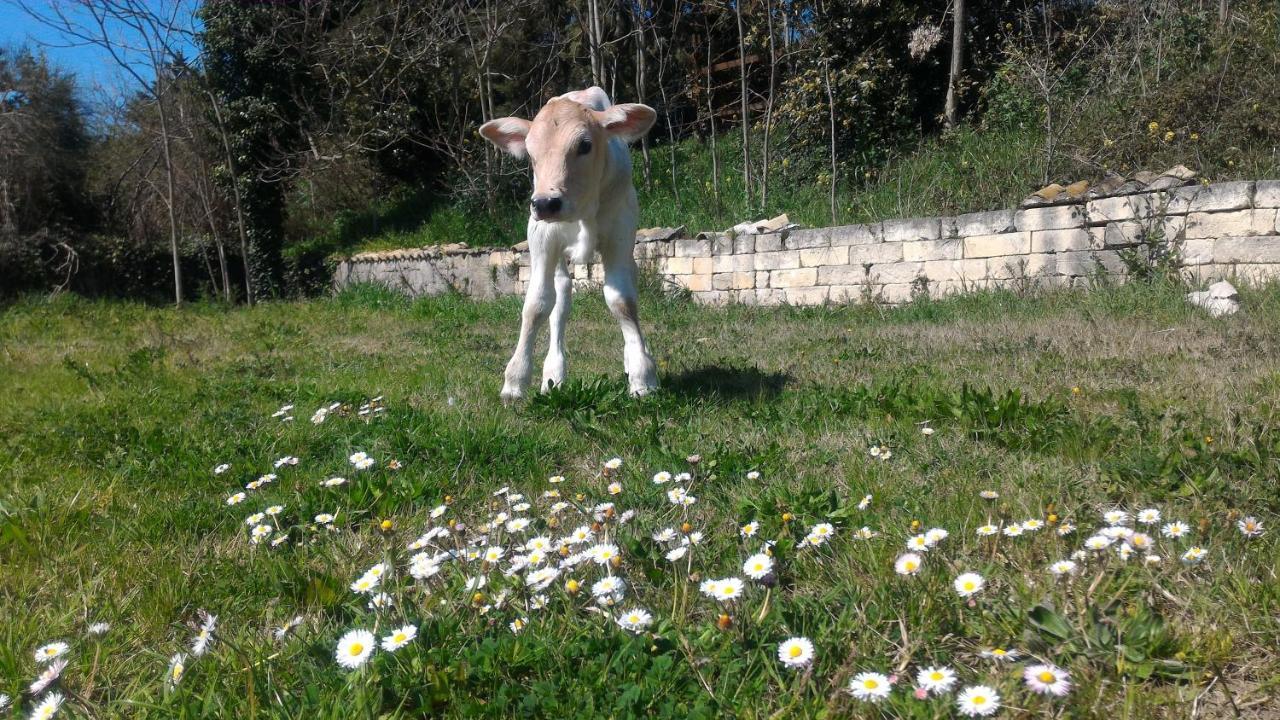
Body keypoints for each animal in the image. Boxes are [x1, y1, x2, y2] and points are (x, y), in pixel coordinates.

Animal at [478, 87, 660, 399]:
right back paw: (553, 374)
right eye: (530, 153)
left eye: (585, 145)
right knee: (560, 299)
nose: (545, 203)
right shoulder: (541, 237)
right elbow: (536, 305)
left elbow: (622, 302)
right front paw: (515, 380)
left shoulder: (620, 232)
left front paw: (643, 374)